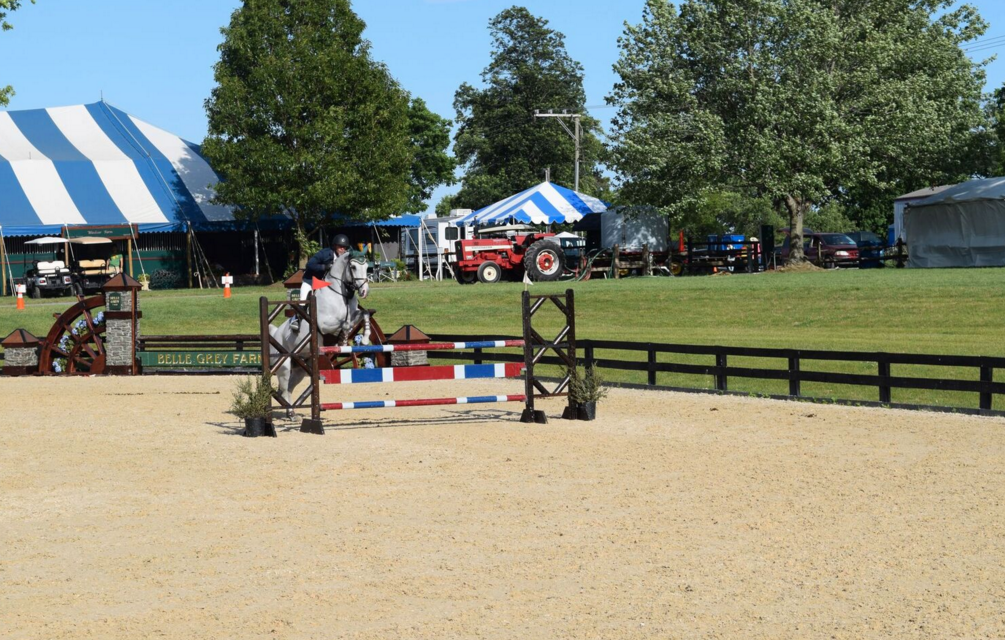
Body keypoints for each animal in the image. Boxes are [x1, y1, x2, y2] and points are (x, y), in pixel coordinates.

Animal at [269, 249, 371, 413]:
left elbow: (364, 314)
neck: (341, 293)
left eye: (367, 267)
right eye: (353, 267)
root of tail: (276, 333)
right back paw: (290, 412)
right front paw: (343, 339)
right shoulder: (324, 324)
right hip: (284, 365)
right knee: (284, 389)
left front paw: (365, 339)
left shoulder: (355, 314)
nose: (364, 291)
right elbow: (345, 323)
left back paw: (292, 414)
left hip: (301, 368)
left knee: (289, 388)